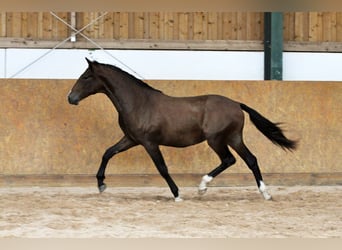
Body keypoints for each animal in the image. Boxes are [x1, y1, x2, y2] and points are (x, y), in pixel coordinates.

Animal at [67, 58, 296, 201]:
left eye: (86, 77)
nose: (71, 98)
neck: (139, 102)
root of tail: (236, 104)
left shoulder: (149, 143)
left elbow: (162, 168)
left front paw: (177, 195)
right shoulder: (131, 139)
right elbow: (107, 153)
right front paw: (101, 184)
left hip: (216, 140)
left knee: (229, 160)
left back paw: (202, 187)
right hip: (234, 138)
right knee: (251, 160)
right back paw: (265, 194)